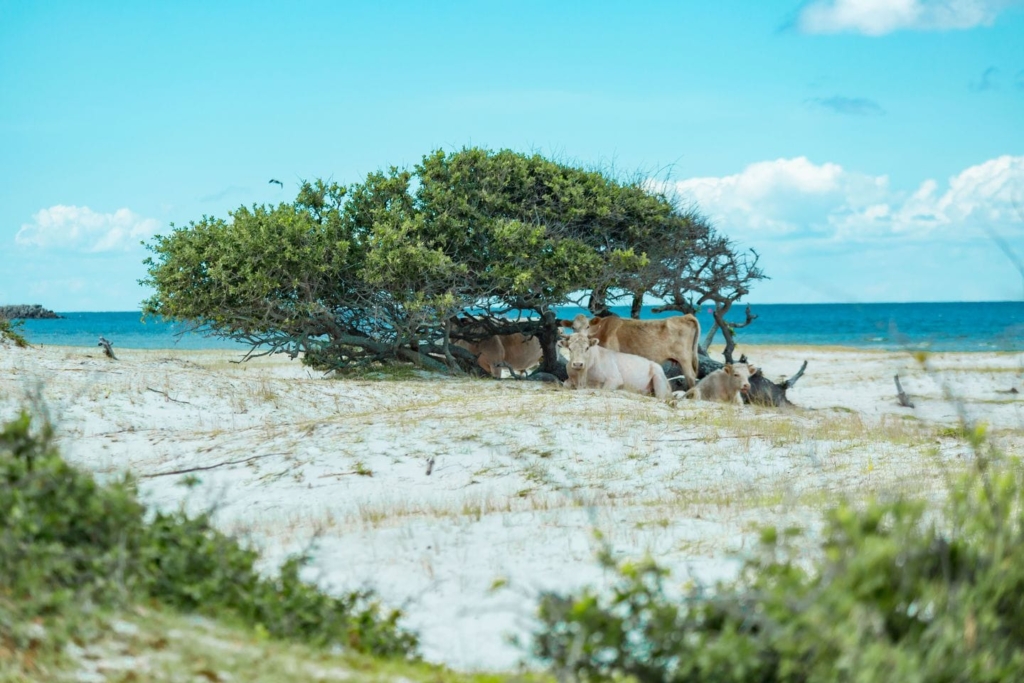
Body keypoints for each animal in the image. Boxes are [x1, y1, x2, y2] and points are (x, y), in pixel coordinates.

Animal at [557, 311, 700, 387]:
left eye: (587, 326)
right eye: (573, 327)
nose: (580, 336)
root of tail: (685, 316)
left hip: (685, 359)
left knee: (690, 376)